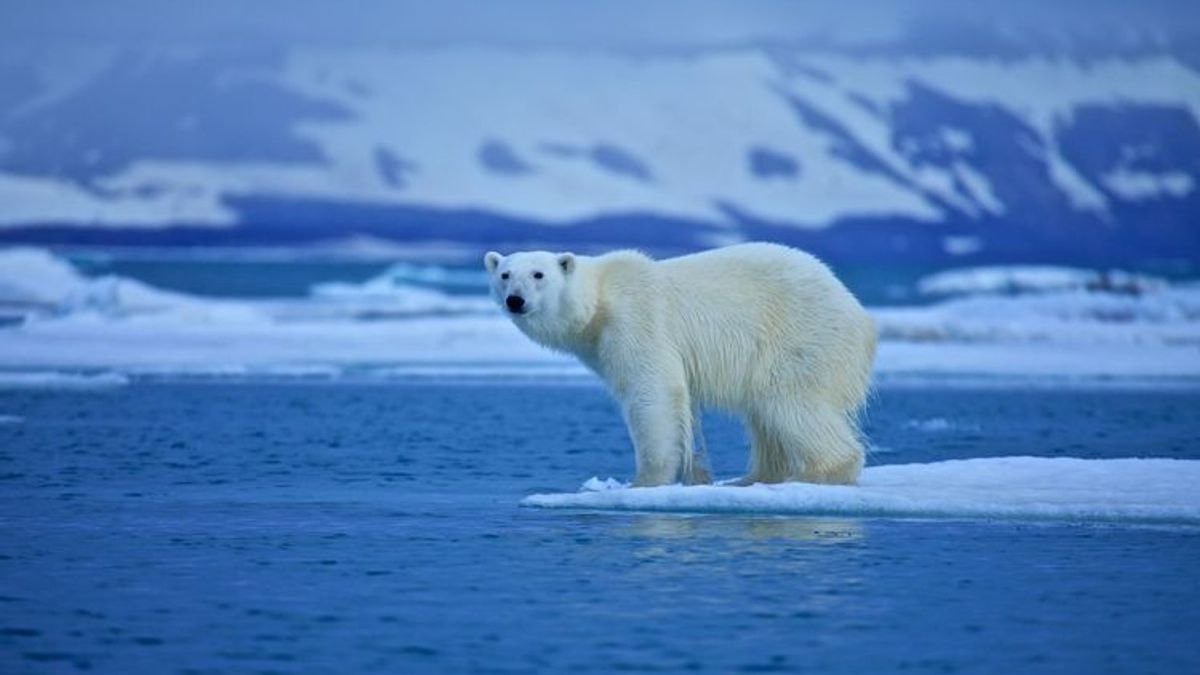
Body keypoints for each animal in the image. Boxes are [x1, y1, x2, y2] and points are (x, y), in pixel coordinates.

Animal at [482, 243, 878, 485]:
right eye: (505, 274)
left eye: (538, 274)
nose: (515, 300)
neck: (598, 304)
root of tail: (861, 316)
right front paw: (697, 475)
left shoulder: (637, 321)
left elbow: (653, 392)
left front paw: (642, 481)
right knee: (765, 416)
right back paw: (751, 478)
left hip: (801, 337)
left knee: (791, 404)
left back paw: (819, 473)